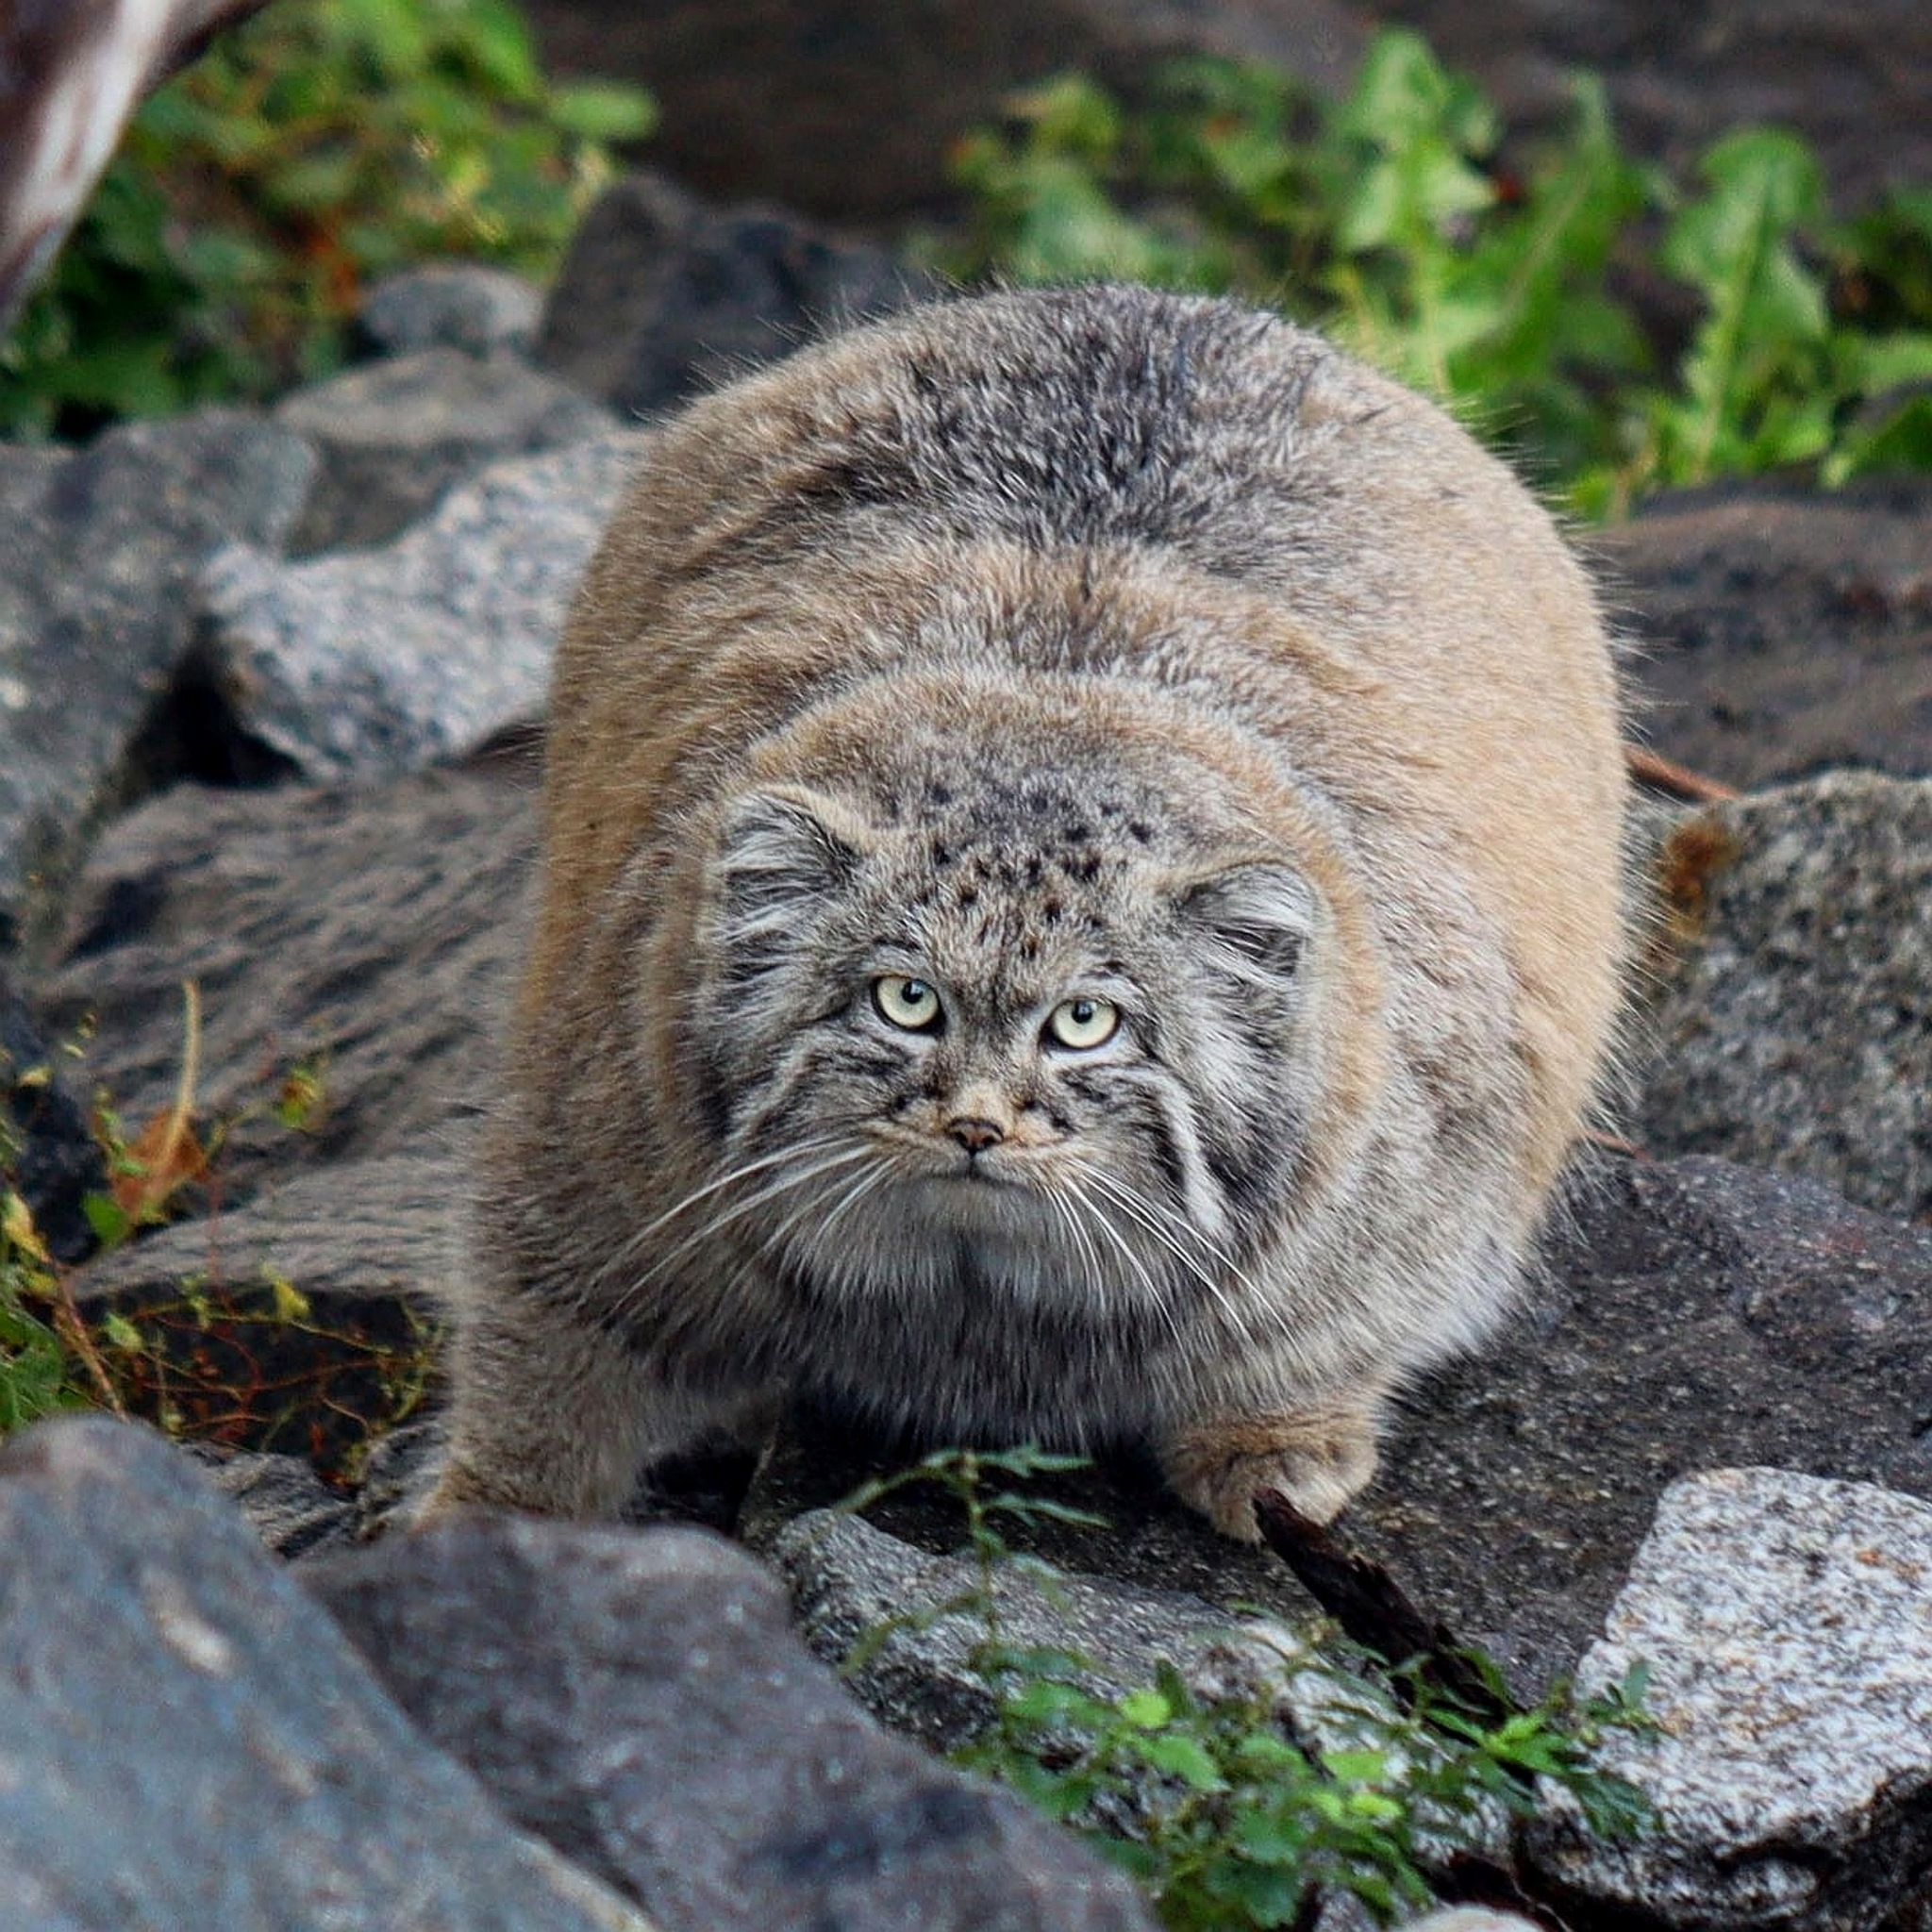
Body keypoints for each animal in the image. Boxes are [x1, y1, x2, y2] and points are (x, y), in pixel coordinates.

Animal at [415, 282, 1623, 1538]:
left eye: (1085, 1022)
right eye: (904, 1000)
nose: (977, 1124)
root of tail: (1147, 298)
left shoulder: (1417, 1187)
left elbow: (1324, 1331)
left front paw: (1273, 1440)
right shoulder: (591, 1158)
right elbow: (538, 1362)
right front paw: (480, 1524)